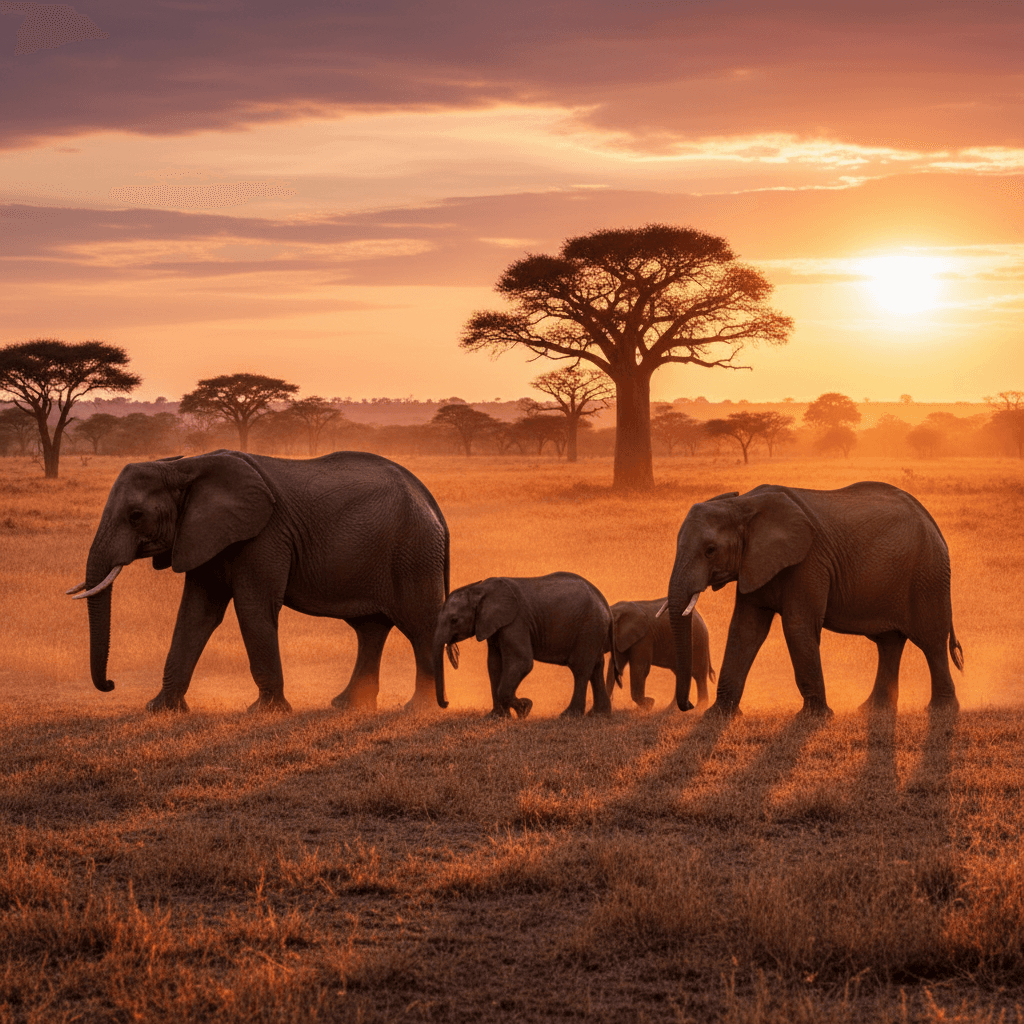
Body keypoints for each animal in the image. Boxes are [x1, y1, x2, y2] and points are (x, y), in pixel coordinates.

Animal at [67, 449, 451, 713]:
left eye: (136, 516)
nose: (110, 684)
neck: (185, 466)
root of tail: (429, 500)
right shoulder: (203, 535)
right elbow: (196, 614)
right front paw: (160, 709)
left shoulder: (264, 535)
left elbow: (253, 608)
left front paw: (265, 712)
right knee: (370, 628)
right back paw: (347, 706)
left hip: (413, 552)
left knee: (419, 625)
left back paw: (420, 709)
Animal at [432, 573, 615, 718]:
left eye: (454, 620)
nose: (447, 703)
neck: (480, 589)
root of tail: (604, 602)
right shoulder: (493, 624)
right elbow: (494, 665)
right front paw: (496, 717)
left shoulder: (516, 621)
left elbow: (522, 662)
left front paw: (525, 709)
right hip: (594, 629)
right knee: (596, 666)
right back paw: (598, 714)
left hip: (589, 627)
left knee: (580, 668)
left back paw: (569, 716)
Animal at [666, 482, 963, 718]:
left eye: (710, 550)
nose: (689, 706)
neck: (743, 504)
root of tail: (929, 518)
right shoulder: (755, 564)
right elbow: (745, 630)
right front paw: (718, 715)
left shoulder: (808, 562)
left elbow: (797, 627)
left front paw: (815, 716)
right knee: (889, 643)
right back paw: (873, 710)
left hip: (928, 574)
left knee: (931, 640)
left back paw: (941, 710)